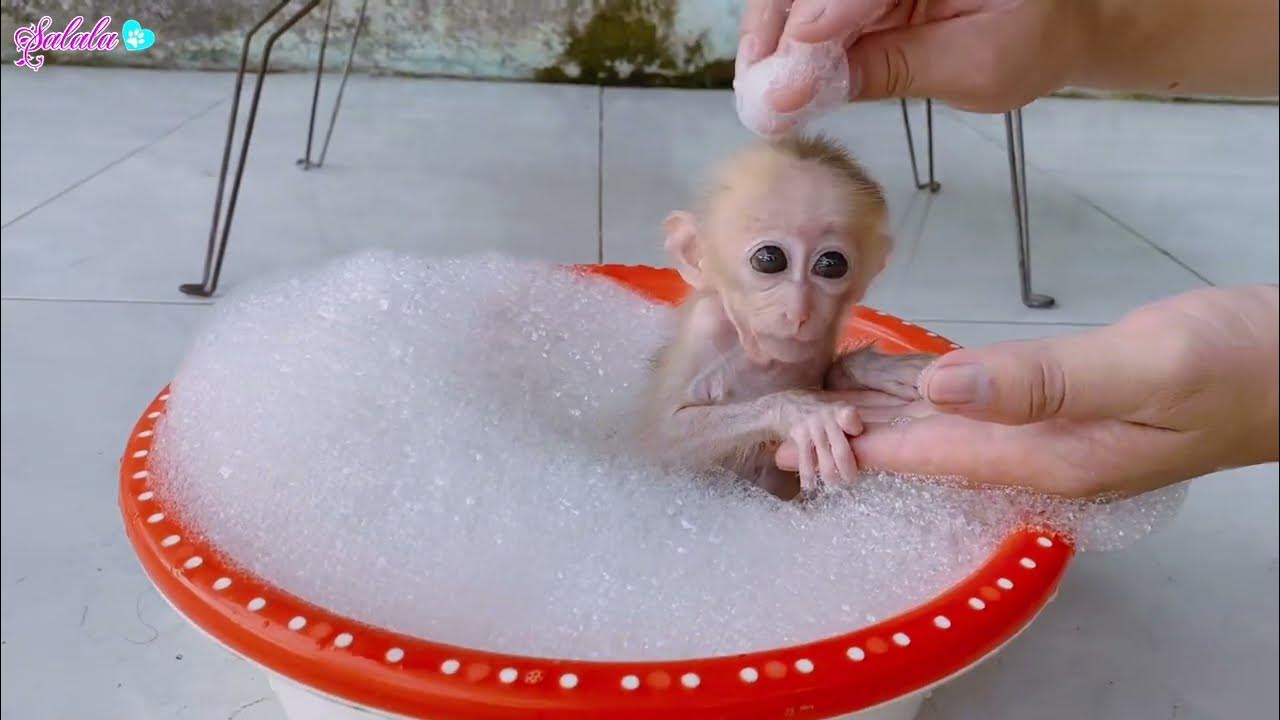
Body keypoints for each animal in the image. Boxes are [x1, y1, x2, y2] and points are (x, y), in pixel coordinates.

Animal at [635, 135, 936, 501]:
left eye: (831, 264)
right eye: (769, 259)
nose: (799, 310)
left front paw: (873, 369)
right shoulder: (705, 328)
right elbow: (658, 439)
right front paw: (797, 410)